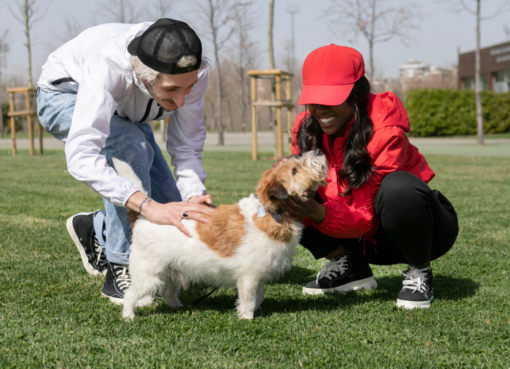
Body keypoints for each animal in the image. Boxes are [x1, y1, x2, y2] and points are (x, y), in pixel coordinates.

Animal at [114, 150, 328, 320]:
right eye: (294, 171)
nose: (318, 150)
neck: (270, 213)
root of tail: (142, 217)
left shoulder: (258, 275)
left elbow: (259, 295)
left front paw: (257, 309)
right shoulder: (249, 276)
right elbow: (249, 299)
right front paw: (247, 317)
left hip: (171, 271)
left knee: (167, 292)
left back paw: (177, 306)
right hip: (147, 275)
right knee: (131, 295)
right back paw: (128, 316)